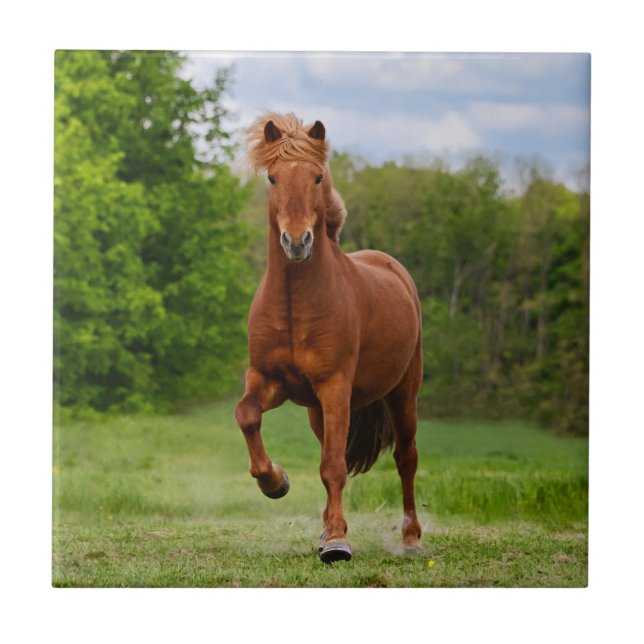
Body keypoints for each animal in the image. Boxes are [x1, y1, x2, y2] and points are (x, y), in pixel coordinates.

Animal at [235, 112, 423, 563]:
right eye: (272, 178)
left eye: (317, 177)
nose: (297, 241)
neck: (294, 305)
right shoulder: (268, 381)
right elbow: (247, 415)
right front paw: (275, 482)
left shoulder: (335, 387)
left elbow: (334, 466)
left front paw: (338, 542)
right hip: (317, 412)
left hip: (403, 394)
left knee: (406, 458)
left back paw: (410, 538)